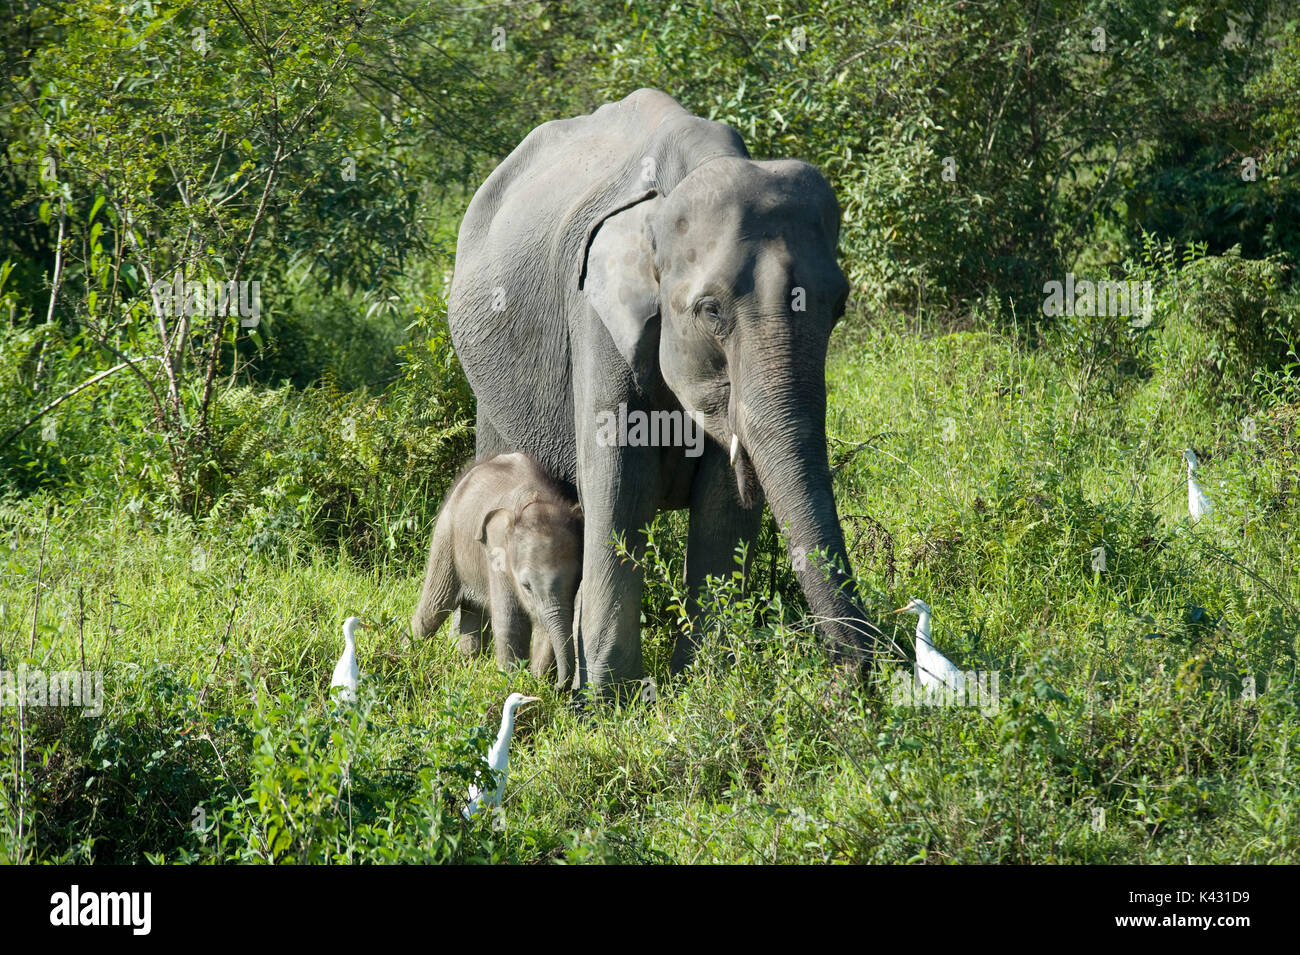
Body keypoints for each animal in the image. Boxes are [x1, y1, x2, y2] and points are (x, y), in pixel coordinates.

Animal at [412, 452, 583, 684]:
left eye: (576, 582)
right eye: (526, 586)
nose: (559, 686)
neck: (534, 501)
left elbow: (544, 625)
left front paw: (537, 680)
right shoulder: (497, 557)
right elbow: (509, 621)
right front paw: (513, 681)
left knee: (472, 612)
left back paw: (468, 665)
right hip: (446, 537)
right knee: (434, 607)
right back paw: (408, 653)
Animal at [446, 88, 880, 694]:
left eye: (839, 305)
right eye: (711, 310)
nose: (854, 674)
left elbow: (724, 505)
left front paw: (703, 685)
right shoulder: (594, 318)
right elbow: (620, 486)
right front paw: (608, 701)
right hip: (487, 376)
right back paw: (478, 663)